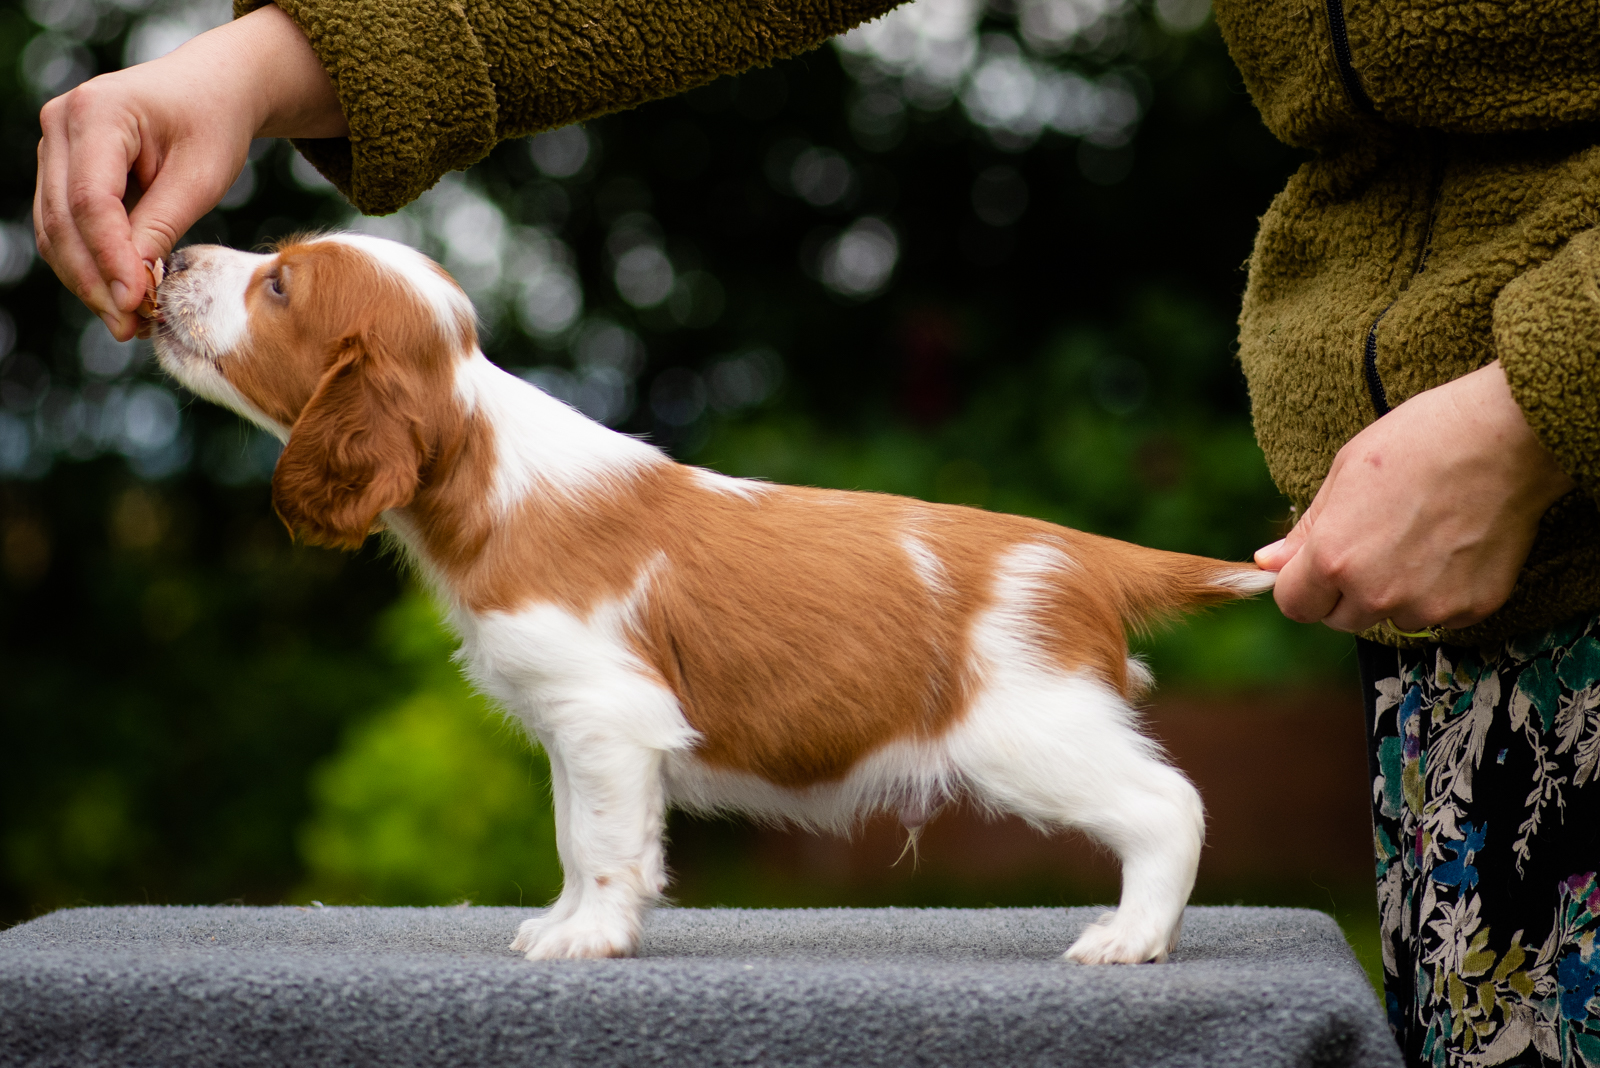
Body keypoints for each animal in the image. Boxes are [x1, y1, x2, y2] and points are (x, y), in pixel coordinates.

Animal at [152, 235, 1273, 965]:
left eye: (279, 284)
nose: (170, 258)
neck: (489, 465)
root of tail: (1084, 555)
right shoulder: (577, 731)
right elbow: (576, 836)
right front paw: (565, 922)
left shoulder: (608, 715)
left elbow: (603, 844)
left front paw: (590, 940)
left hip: (1029, 732)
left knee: (1168, 806)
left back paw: (1131, 938)